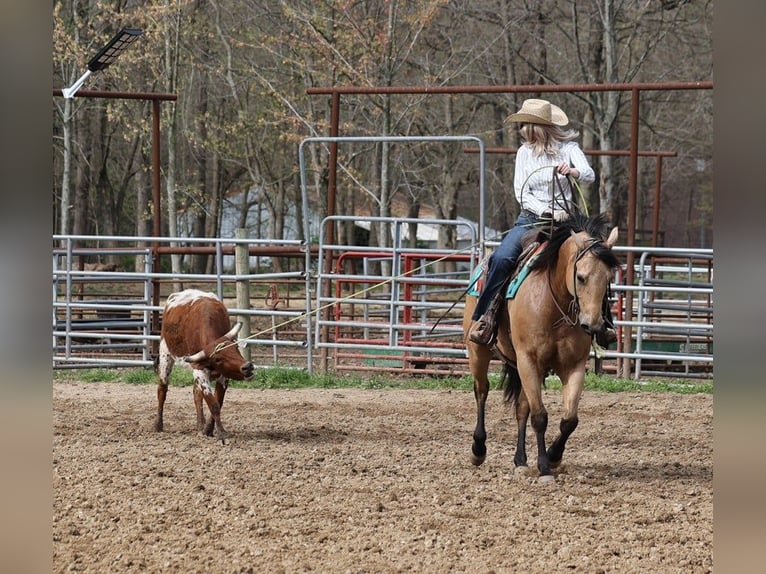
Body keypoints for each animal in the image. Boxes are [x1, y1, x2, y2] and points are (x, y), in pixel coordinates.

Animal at [463, 213, 620, 483]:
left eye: (609, 279)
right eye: (581, 277)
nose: (593, 325)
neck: (553, 300)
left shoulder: (573, 366)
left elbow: (569, 420)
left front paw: (554, 457)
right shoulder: (528, 360)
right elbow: (540, 417)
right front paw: (545, 468)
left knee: (521, 408)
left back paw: (521, 461)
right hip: (478, 352)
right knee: (482, 391)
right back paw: (478, 449)